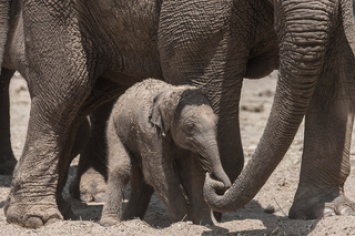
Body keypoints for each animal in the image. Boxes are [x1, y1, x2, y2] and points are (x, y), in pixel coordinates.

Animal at [100, 79, 231, 227]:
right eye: (190, 126)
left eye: (216, 123)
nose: (211, 175)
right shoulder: (149, 133)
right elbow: (159, 173)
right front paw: (185, 221)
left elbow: (191, 173)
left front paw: (205, 223)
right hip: (114, 128)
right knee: (121, 169)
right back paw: (110, 222)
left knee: (141, 180)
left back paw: (131, 219)